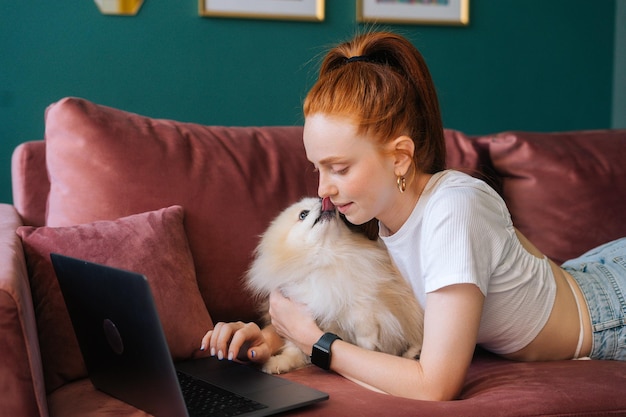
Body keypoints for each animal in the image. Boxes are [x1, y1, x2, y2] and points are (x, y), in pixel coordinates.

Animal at [246, 196, 422, 374]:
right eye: (303, 214)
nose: (321, 198)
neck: (326, 257)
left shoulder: (364, 295)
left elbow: (362, 319)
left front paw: (368, 344)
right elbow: (294, 348)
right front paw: (279, 362)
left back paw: (414, 353)